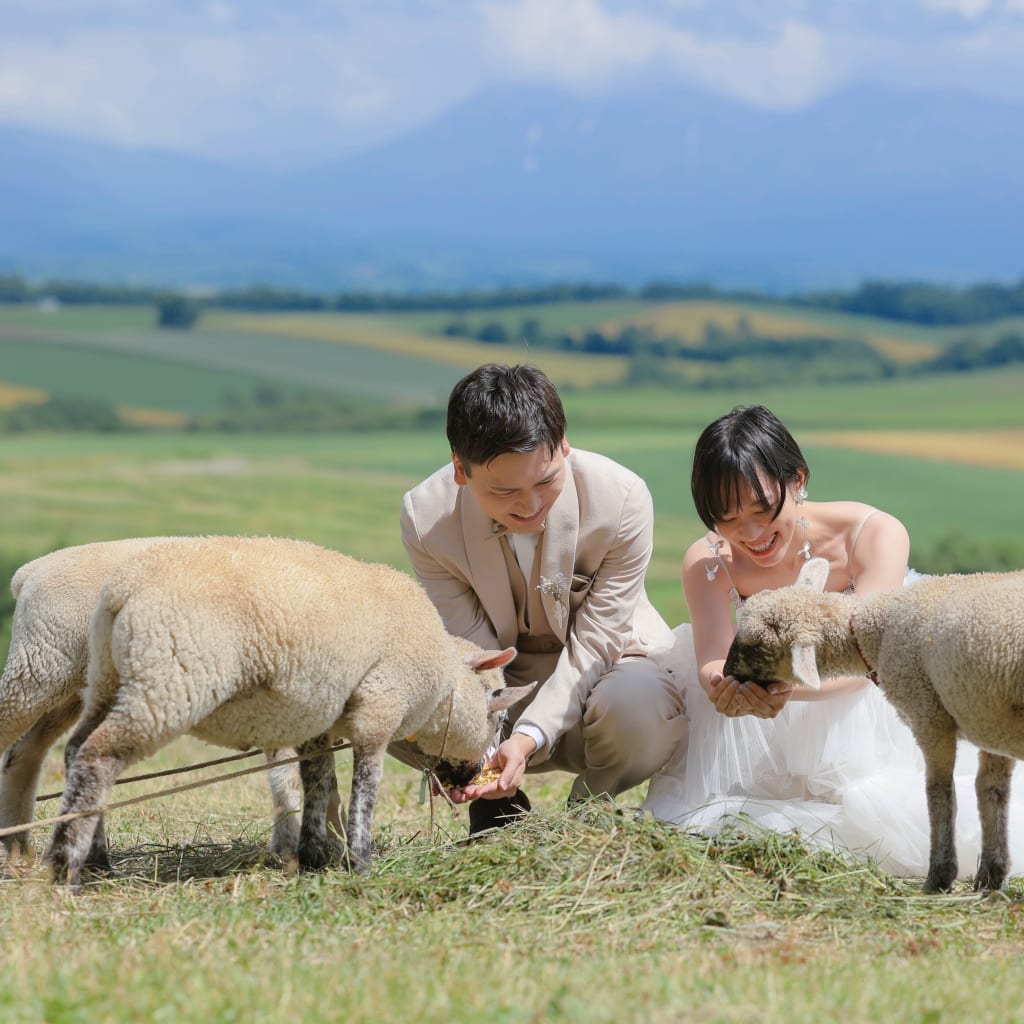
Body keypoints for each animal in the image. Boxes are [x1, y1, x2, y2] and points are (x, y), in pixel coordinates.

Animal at [44, 536, 532, 888]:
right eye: (495, 710)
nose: (473, 777)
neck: (440, 677)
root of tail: (121, 593)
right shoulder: (379, 707)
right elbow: (364, 788)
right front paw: (361, 863)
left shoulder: (322, 721)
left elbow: (317, 781)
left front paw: (313, 858)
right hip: (166, 682)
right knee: (98, 758)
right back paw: (69, 865)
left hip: (108, 679)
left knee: (74, 751)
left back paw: (95, 860)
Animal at [720, 557, 1024, 892]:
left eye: (753, 643)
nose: (724, 673)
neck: (874, 631)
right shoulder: (987, 720)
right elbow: (991, 792)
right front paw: (990, 877)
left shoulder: (928, 712)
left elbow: (939, 793)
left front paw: (939, 878)